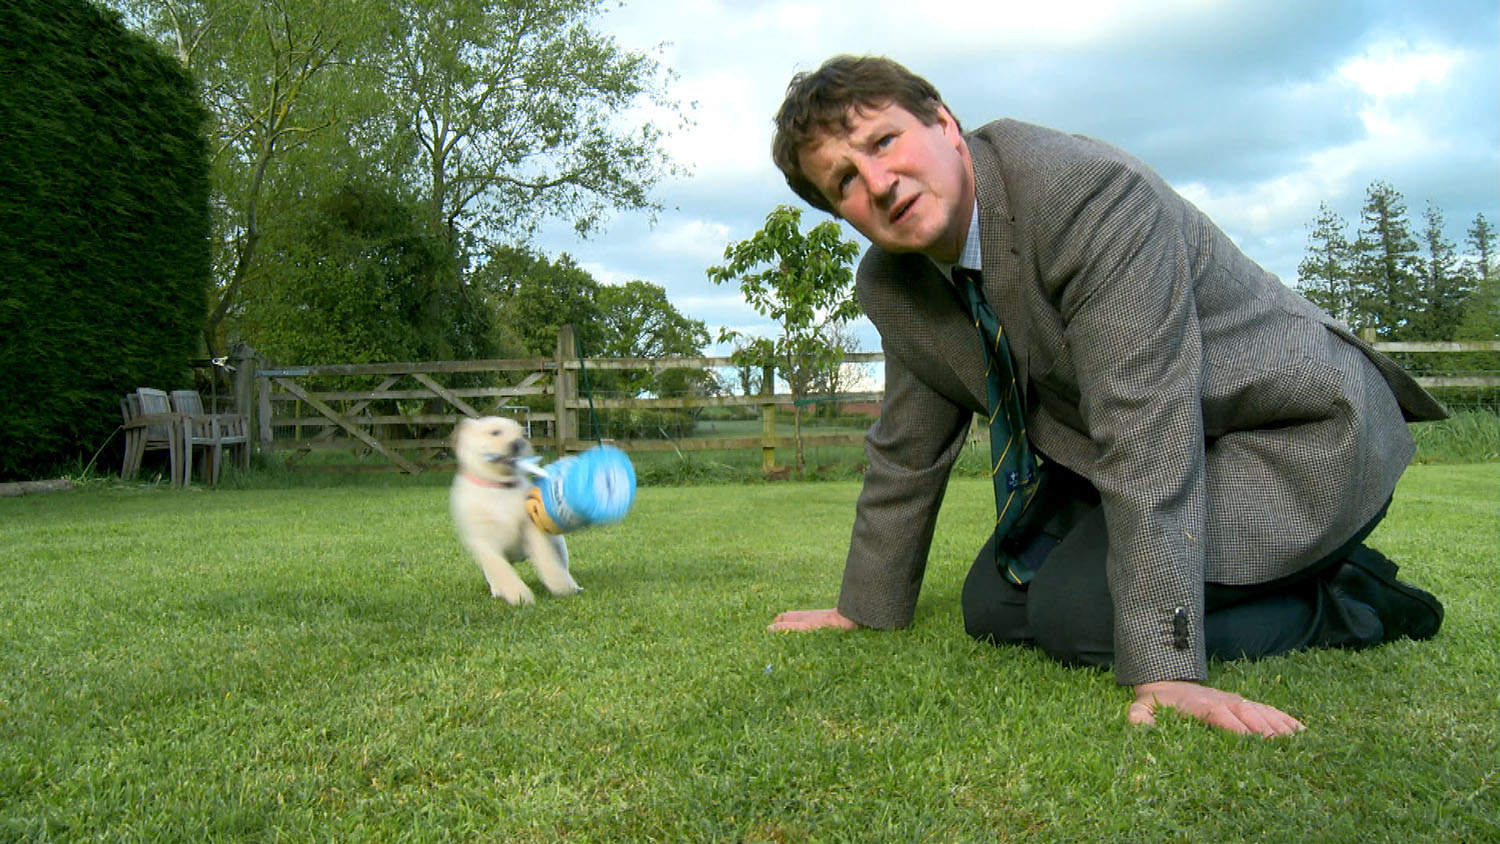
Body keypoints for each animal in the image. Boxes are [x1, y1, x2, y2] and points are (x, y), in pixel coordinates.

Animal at [447, 416, 576, 605]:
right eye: (495, 432)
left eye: (523, 434)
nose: (517, 443)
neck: (499, 486)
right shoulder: (485, 542)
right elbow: (502, 571)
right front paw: (520, 596)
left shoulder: (531, 529)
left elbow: (547, 561)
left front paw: (562, 587)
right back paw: (497, 592)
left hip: (558, 542)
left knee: (561, 562)